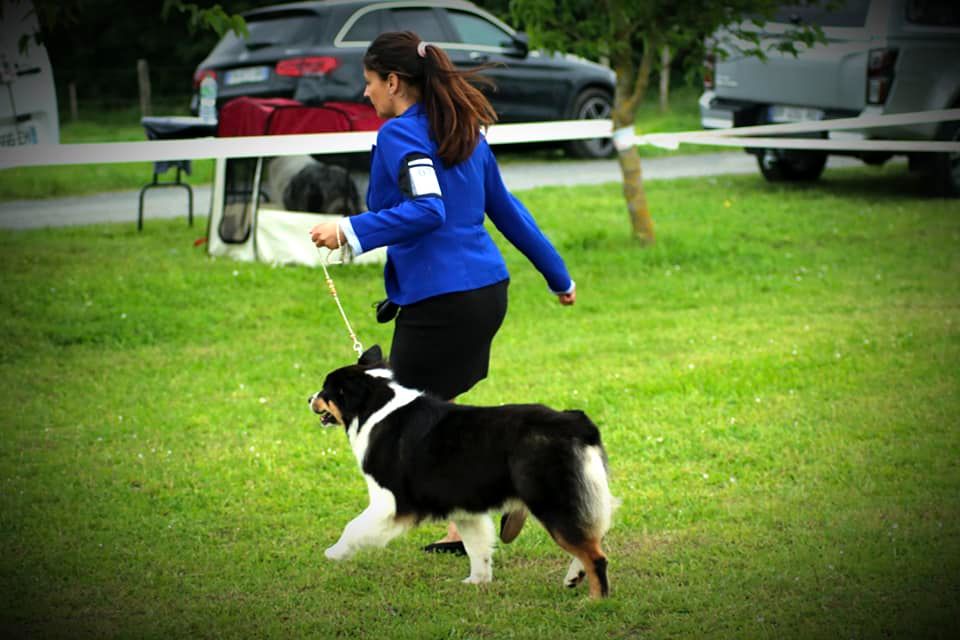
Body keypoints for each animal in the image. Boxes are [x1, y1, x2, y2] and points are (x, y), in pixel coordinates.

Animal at [312, 348, 620, 596]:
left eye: (326, 390)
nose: (308, 398)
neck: (375, 408)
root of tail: (576, 422)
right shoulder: (464, 507)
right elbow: (477, 545)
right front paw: (477, 582)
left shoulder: (389, 501)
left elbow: (353, 527)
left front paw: (333, 553)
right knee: (594, 535)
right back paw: (574, 577)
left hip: (552, 499)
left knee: (596, 554)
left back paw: (595, 601)